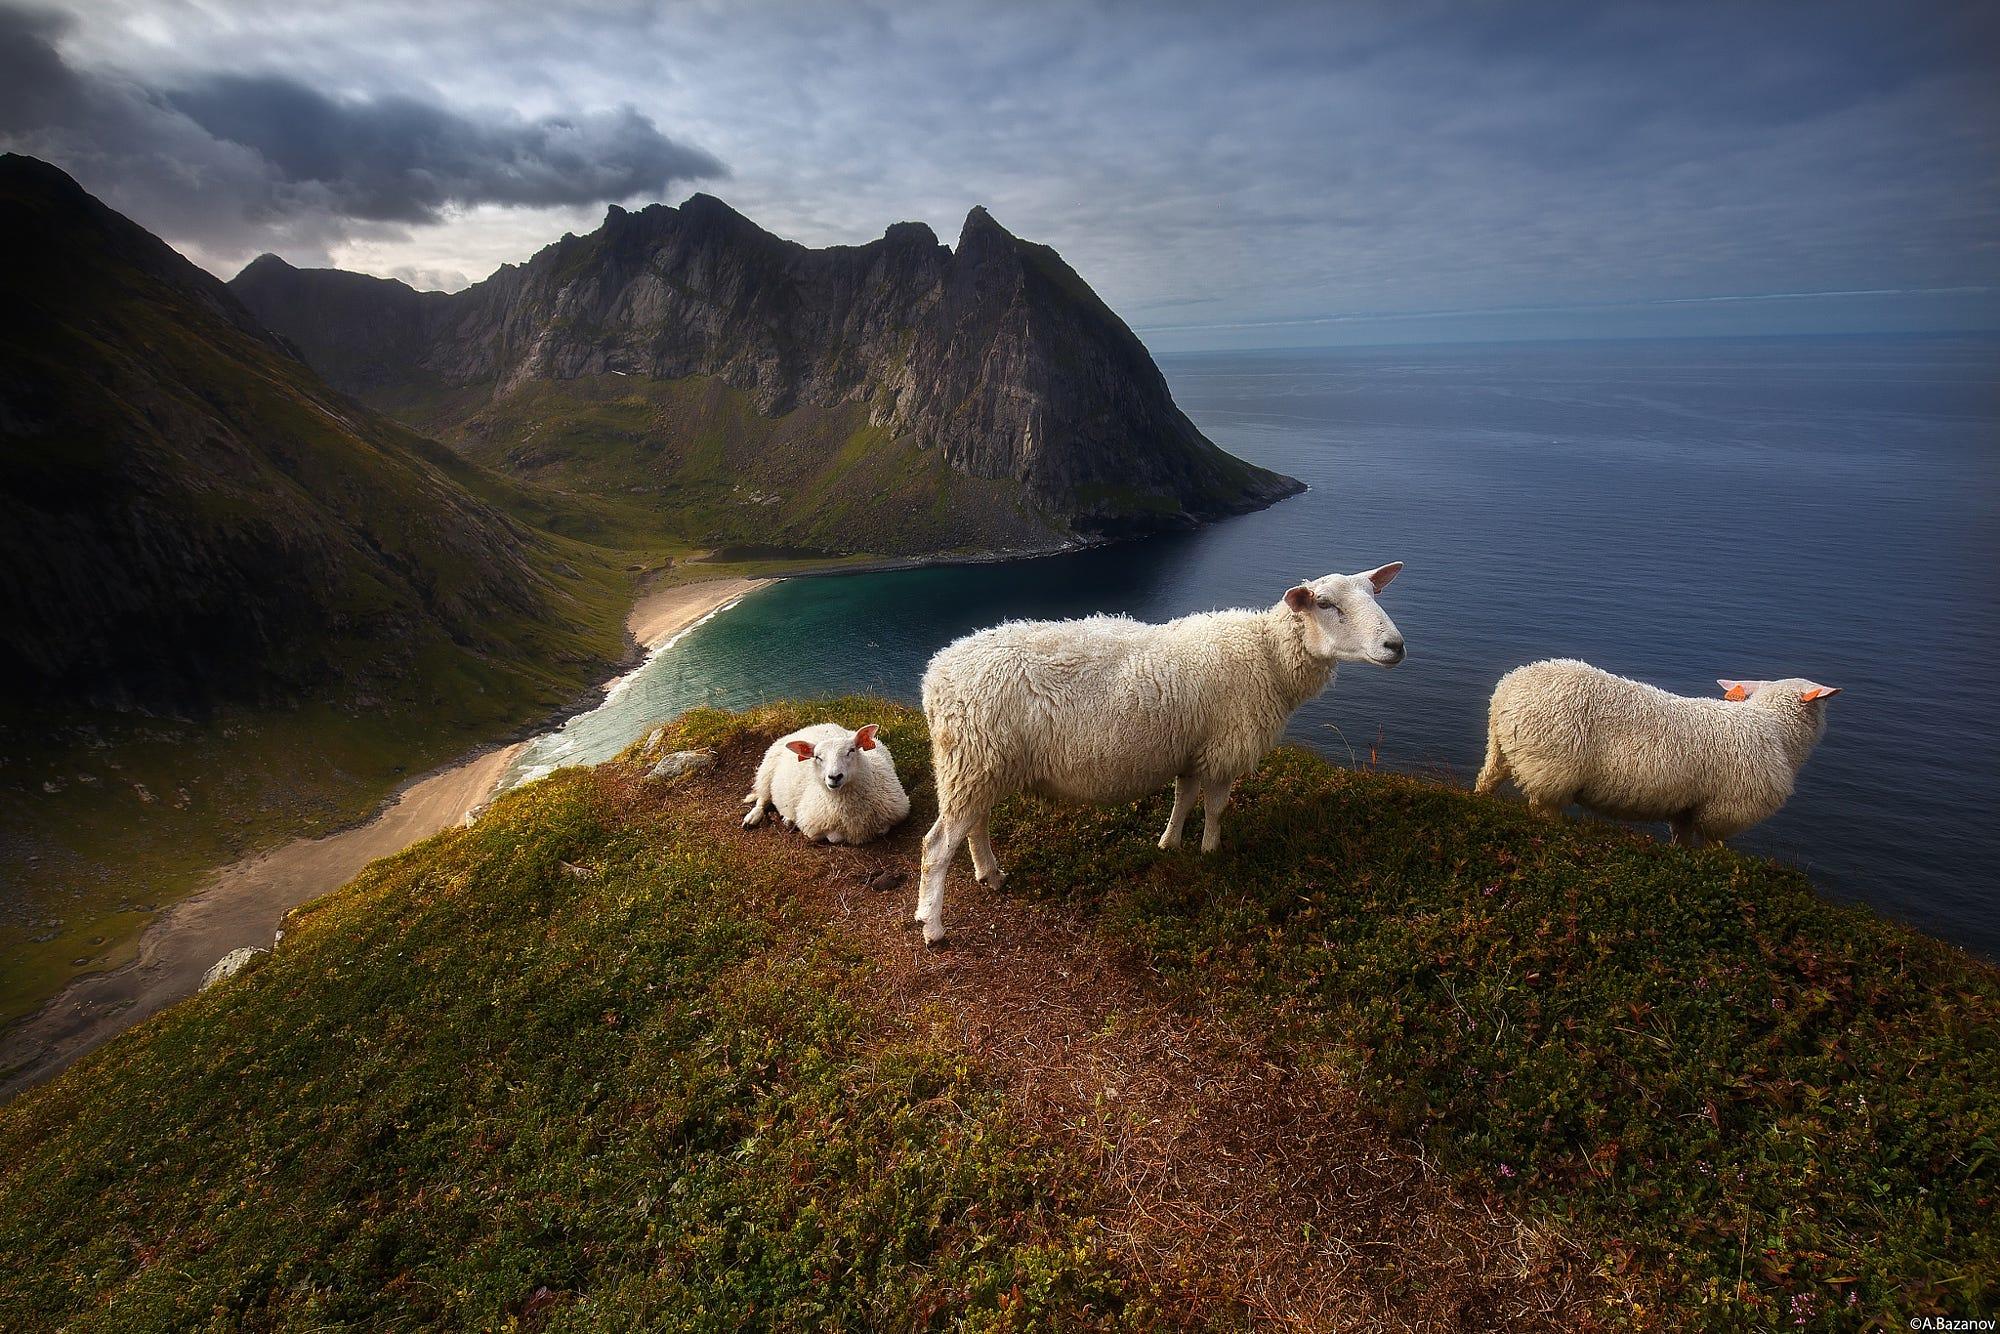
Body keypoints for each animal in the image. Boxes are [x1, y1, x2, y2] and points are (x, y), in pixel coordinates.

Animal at [744, 724, 916, 852]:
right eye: (817, 757)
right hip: (765, 773)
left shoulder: (898, 812)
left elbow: (882, 829)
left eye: (851, 750)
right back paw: (753, 818)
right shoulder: (812, 826)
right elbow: (835, 837)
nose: (834, 777)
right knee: (762, 799)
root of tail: (814, 725)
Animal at [912, 564, 1408, 948]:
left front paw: (1170, 845)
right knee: (937, 847)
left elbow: (1183, 799)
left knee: (975, 825)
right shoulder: (1223, 750)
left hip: (982, 764)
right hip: (973, 759)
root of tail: (935, 675)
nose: (1396, 646)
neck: (1268, 656)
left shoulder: (1191, 750)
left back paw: (990, 875)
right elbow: (1215, 807)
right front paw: (1210, 853)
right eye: (1324, 603)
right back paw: (933, 926)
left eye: (1374, 594)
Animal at [1472, 656, 1840, 844]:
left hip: (1503, 749)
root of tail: (1509, 688)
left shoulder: (1689, 807)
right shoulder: (1725, 810)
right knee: (1542, 809)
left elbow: (1683, 842)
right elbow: (1715, 847)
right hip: (1552, 767)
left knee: (1487, 779)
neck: (1774, 729)